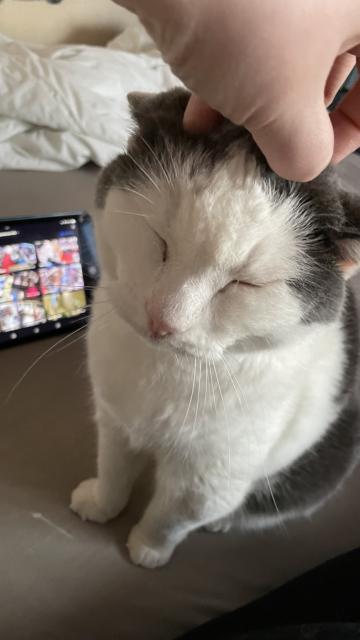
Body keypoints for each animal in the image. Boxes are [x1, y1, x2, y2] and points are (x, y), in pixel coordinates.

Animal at [69, 86, 360, 568]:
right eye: (160, 240)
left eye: (244, 283)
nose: (163, 319)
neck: (165, 372)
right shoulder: (114, 420)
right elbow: (113, 469)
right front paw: (101, 503)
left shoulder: (208, 479)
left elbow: (173, 516)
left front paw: (148, 550)